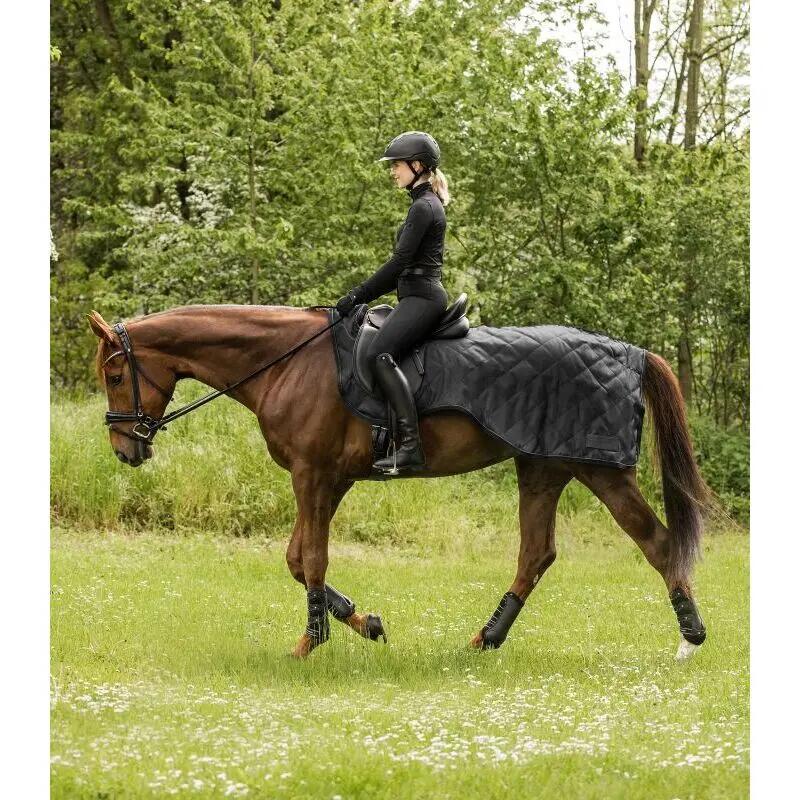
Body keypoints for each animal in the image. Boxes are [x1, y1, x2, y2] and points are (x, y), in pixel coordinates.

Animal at [87, 304, 709, 660]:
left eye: (115, 375)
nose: (125, 450)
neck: (287, 362)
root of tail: (631, 353)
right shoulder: (331, 480)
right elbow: (298, 560)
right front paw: (364, 623)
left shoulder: (314, 475)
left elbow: (311, 559)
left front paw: (309, 643)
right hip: (542, 469)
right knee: (536, 554)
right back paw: (484, 640)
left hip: (600, 469)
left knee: (657, 543)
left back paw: (689, 640)